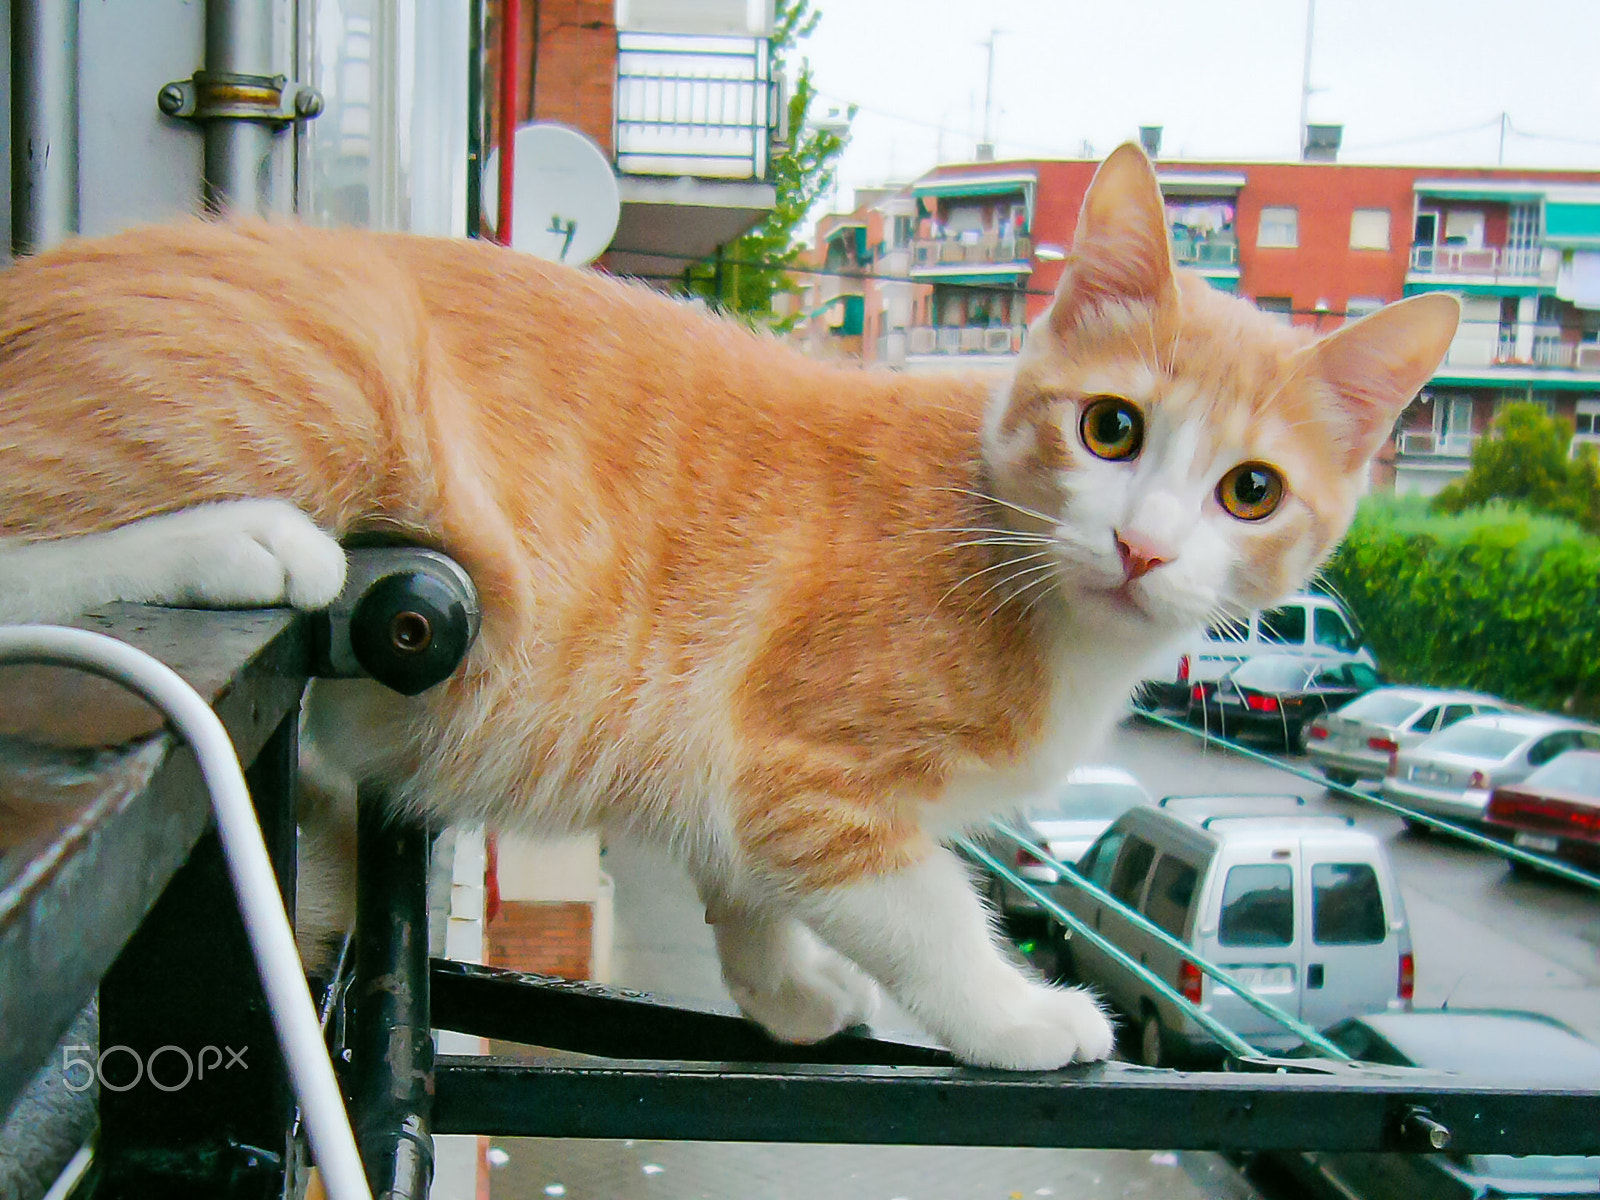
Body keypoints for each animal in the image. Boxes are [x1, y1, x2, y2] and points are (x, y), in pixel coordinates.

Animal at [0, 145, 1452, 1075]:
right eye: (1112, 428)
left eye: (1251, 491)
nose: (1145, 547)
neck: (1011, 548)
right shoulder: (808, 763)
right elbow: (920, 904)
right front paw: (1012, 1015)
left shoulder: (736, 758)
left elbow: (750, 864)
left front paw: (783, 981)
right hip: (324, 381)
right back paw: (241, 543)